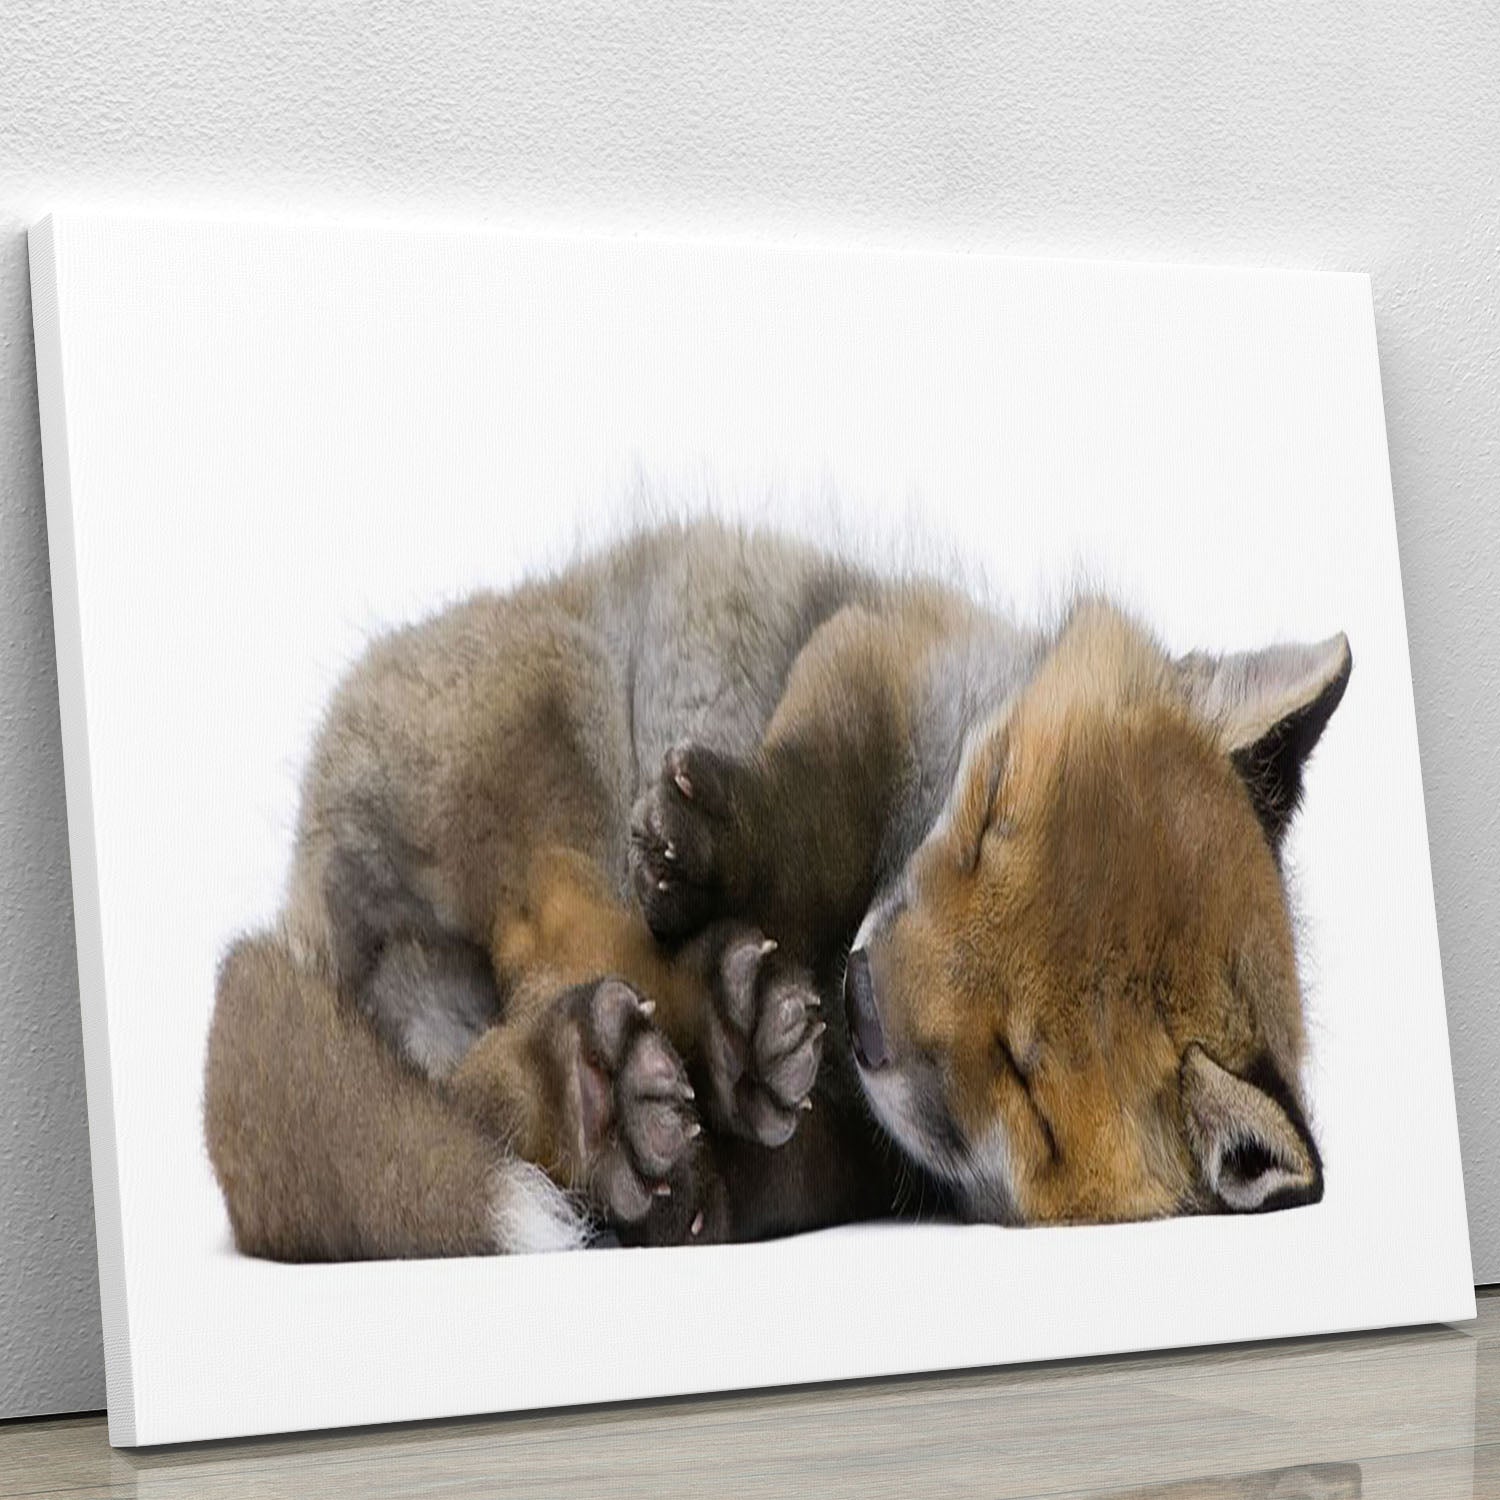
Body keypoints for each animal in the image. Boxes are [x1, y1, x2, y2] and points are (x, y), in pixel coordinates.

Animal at [203, 517, 1351, 1258]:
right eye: (988, 823)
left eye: (1023, 1074)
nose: (863, 1003)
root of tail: (296, 913)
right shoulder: (885, 648)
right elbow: (821, 802)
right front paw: (721, 850)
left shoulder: (859, 1150)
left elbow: (784, 1170)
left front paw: (700, 1184)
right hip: (552, 717)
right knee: (565, 941)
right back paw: (689, 1035)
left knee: (491, 1071)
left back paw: (622, 1083)